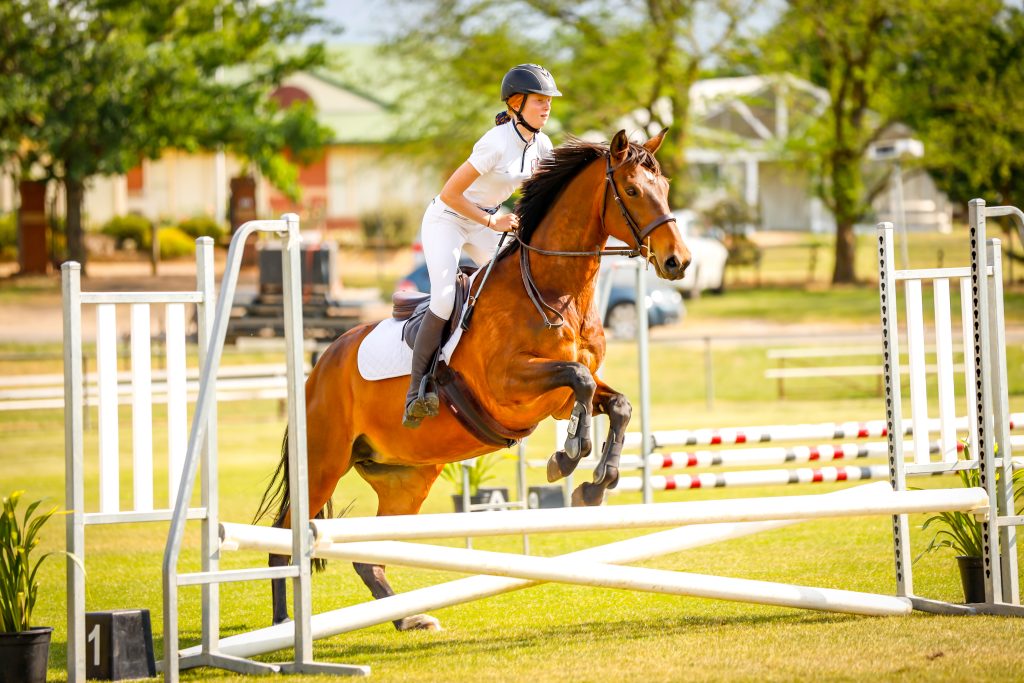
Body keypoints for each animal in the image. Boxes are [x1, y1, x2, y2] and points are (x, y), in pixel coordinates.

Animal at [253, 126, 688, 630]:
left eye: (666, 188)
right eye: (633, 191)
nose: (678, 261)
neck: (553, 288)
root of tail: (318, 369)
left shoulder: (564, 393)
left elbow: (616, 403)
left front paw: (595, 483)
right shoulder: (508, 386)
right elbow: (578, 379)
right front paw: (567, 457)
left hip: (405, 477)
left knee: (367, 554)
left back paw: (409, 619)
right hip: (323, 463)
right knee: (282, 538)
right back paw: (284, 623)